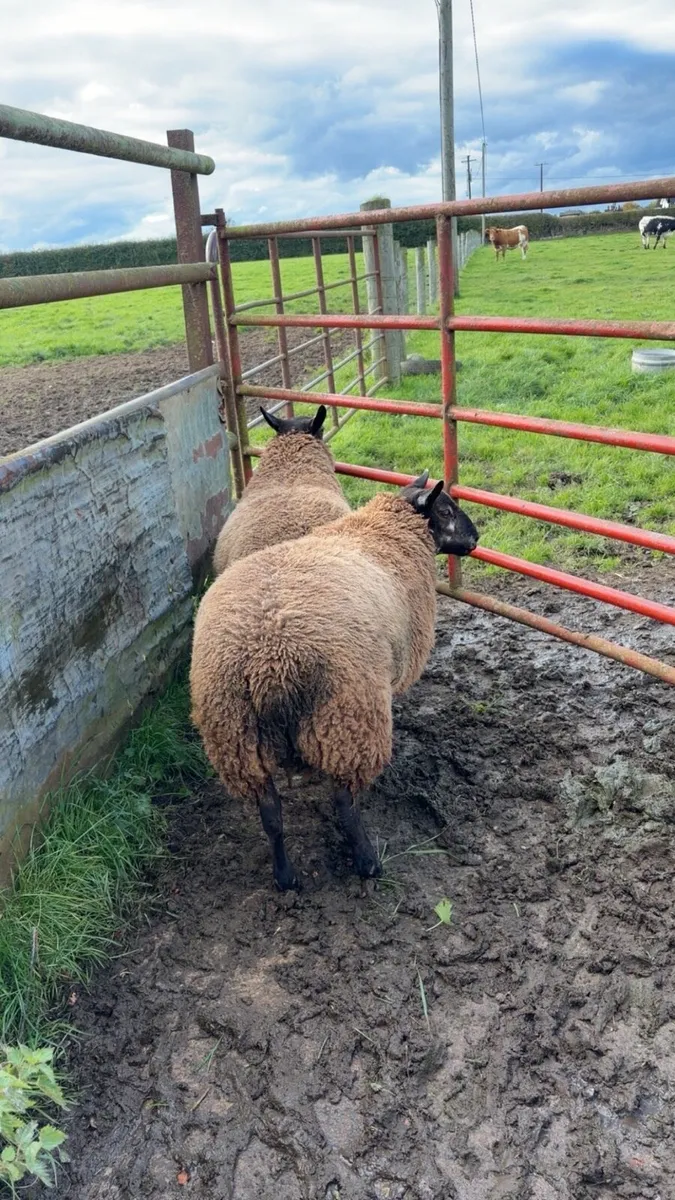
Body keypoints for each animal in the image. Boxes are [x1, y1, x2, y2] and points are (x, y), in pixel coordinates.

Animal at [190, 471, 479, 891]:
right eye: (445, 511)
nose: (476, 538)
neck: (383, 532)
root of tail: (268, 663)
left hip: (237, 737)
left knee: (271, 815)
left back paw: (285, 877)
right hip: (348, 718)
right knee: (344, 803)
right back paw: (367, 862)